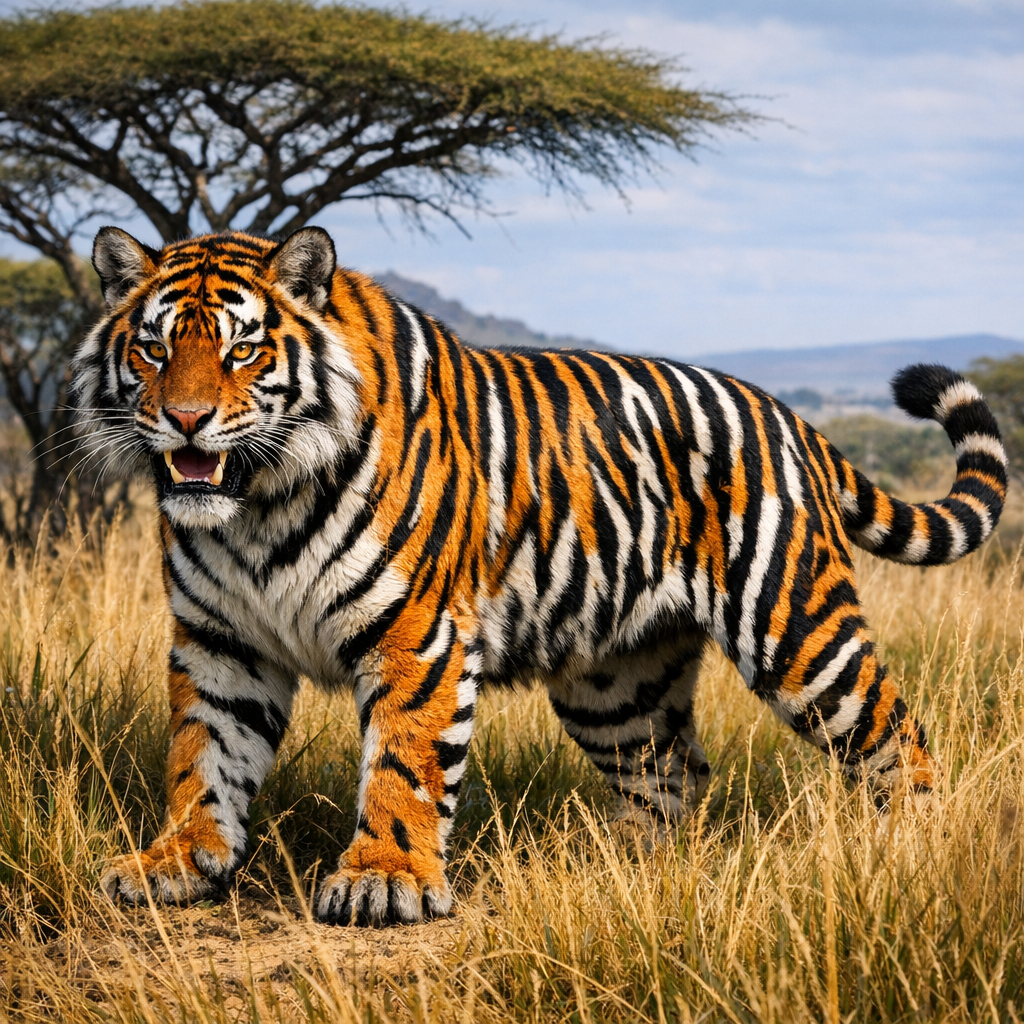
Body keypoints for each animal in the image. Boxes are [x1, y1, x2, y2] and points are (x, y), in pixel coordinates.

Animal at [73, 225, 1008, 927]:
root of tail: (790, 415)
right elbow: (204, 754)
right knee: (673, 776)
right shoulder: (219, 640)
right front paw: (177, 863)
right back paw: (623, 872)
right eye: (153, 349)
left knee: (898, 742)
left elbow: (404, 762)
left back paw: (913, 849)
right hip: (616, 684)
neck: (257, 504)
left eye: (242, 351)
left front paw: (384, 880)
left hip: (798, 632)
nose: (184, 419)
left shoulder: (416, 633)